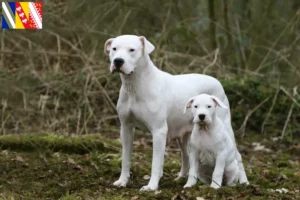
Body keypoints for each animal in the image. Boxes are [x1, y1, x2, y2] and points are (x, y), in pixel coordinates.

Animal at [103, 34, 248, 191]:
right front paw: (122, 181)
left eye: (132, 50)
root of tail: (217, 80)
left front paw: (151, 186)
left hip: (226, 128)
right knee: (186, 155)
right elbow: (126, 157)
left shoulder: (158, 131)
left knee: (238, 156)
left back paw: (243, 181)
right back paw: (182, 177)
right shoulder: (126, 127)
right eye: (114, 49)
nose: (118, 61)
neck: (134, 85)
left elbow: (155, 162)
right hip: (184, 134)